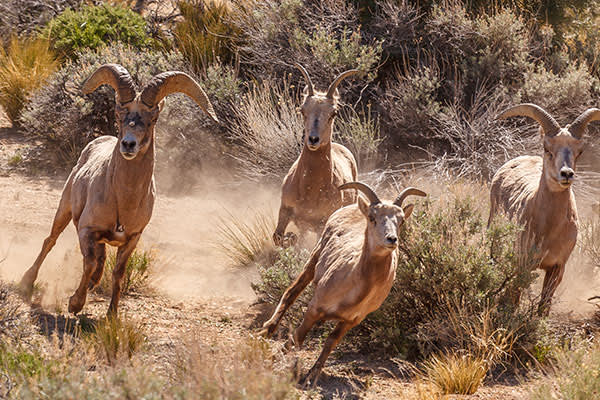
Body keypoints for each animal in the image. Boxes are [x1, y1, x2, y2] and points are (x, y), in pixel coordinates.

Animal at [19, 64, 219, 316]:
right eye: (118, 115)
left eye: (153, 119)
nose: (128, 144)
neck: (123, 203)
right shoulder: (86, 230)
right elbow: (88, 263)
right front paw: (75, 304)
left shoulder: (131, 239)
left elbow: (118, 273)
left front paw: (112, 315)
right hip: (64, 210)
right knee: (50, 241)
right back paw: (27, 282)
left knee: (101, 258)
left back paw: (92, 283)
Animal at [262, 181, 426, 384]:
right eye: (372, 217)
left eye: (401, 220)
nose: (391, 239)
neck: (355, 291)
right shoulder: (314, 308)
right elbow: (299, 336)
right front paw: (273, 358)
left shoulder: (351, 321)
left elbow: (330, 344)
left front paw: (311, 377)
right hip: (315, 257)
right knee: (292, 292)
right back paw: (266, 329)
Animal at [274, 63, 360, 245]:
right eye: (302, 109)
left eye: (333, 112)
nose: (313, 139)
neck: (310, 189)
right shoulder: (285, 210)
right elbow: (277, 237)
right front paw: (289, 239)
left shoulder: (322, 222)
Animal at [488, 104, 600, 316]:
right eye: (547, 148)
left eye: (579, 151)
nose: (566, 174)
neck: (549, 230)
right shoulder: (522, 263)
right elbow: (513, 298)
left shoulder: (556, 267)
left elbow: (544, 306)